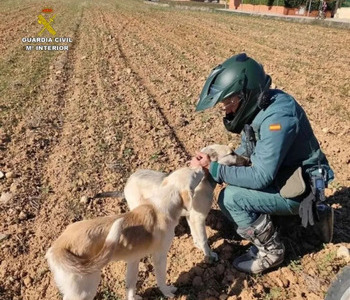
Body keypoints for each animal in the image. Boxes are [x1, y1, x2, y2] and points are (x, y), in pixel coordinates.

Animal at [46, 166, 205, 300]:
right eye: (194, 174)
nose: (202, 168)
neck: (162, 204)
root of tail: (59, 247)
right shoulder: (159, 256)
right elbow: (161, 278)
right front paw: (167, 292)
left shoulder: (133, 259)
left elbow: (130, 285)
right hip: (85, 289)